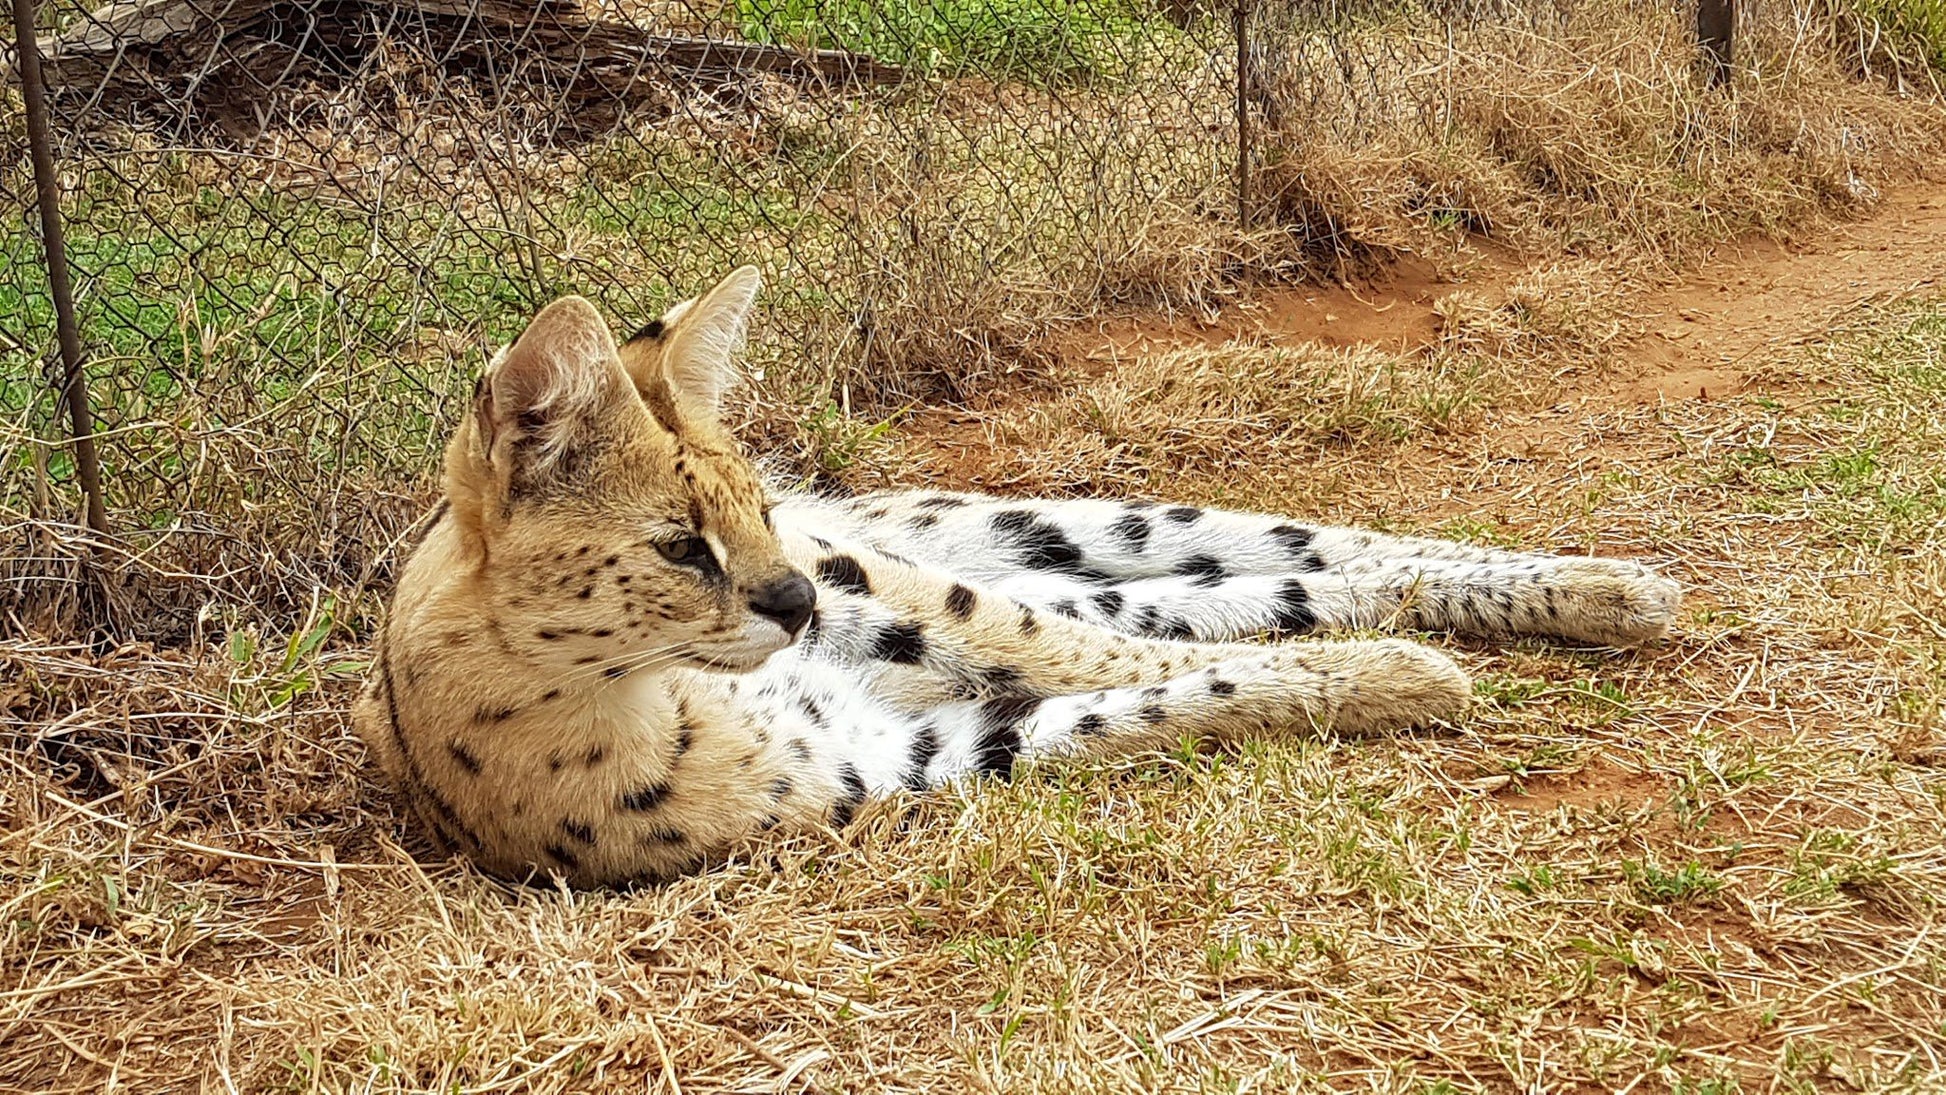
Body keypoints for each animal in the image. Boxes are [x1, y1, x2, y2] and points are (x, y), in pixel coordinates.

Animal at [358, 268, 1681, 890]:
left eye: (749, 515)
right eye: (680, 546)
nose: (789, 602)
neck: (625, 691)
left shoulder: (882, 603)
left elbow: (1083, 656)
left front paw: (1399, 677)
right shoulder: (900, 761)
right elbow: (1156, 695)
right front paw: (1391, 680)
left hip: (983, 534)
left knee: (1317, 548)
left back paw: (1603, 583)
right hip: (1013, 563)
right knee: (1236, 597)